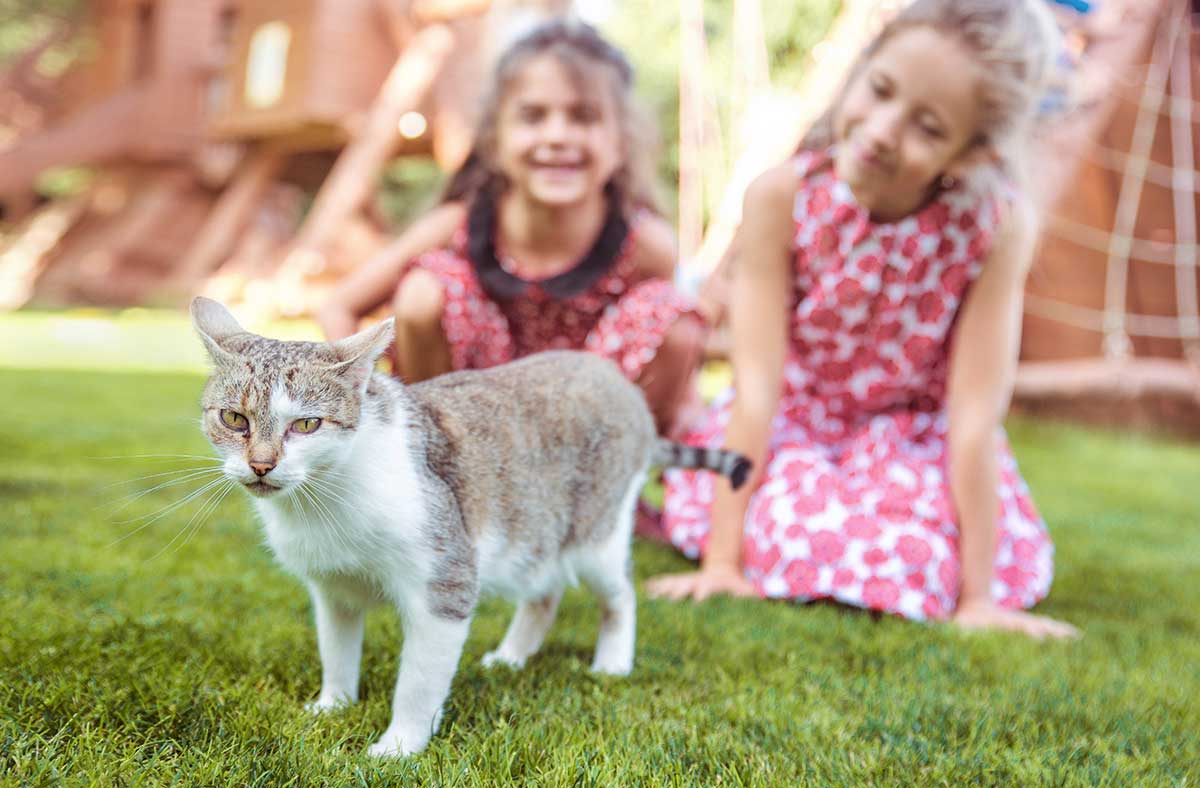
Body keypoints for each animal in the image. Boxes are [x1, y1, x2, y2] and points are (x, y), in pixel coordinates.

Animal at [187, 296, 748, 758]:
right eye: (234, 419)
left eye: (306, 424)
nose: (261, 465)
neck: (324, 500)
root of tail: (624, 387)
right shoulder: (334, 590)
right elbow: (337, 652)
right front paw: (334, 706)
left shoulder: (444, 582)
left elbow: (418, 682)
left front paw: (399, 746)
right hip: (536, 532)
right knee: (545, 592)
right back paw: (511, 657)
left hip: (597, 535)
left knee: (620, 595)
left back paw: (612, 663)